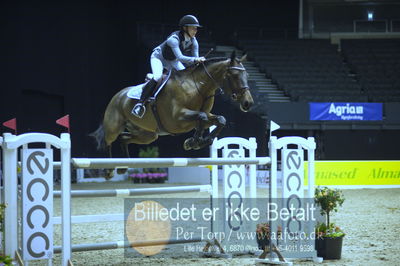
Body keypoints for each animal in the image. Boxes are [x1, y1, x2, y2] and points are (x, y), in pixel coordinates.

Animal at [90, 50, 253, 164]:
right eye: (234, 75)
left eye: (247, 76)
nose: (248, 103)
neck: (197, 87)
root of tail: (117, 96)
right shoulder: (177, 119)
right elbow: (202, 116)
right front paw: (193, 142)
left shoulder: (201, 117)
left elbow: (220, 119)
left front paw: (200, 141)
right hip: (114, 127)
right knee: (107, 141)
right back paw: (109, 170)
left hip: (147, 134)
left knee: (124, 138)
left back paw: (124, 164)